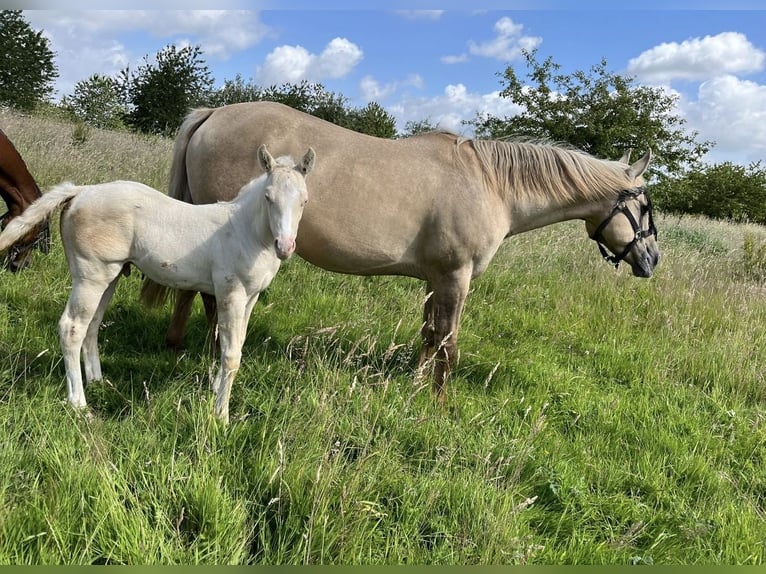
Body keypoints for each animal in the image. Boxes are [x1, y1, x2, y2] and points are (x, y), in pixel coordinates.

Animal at [0, 144, 316, 423]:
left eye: (304, 200)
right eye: (268, 197)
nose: (285, 247)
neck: (246, 232)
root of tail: (82, 190)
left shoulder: (251, 297)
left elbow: (237, 344)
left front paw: (217, 393)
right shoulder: (231, 293)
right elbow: (230, 354)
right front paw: (221, 416)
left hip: (111, 276)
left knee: (93, 324)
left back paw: (99, 382)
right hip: (91, 276)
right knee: (72, 328)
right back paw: (79, 405)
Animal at [142, 101, 660, 405]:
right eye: (645, 204)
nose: (652, 260)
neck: (489, 184)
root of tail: (216, 111)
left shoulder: (435, 279)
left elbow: (428, 337)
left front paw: (414, 385)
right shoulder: (455, 277)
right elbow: (448, 342)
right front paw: (438, 404)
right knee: (212, 301)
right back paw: (213, 350)